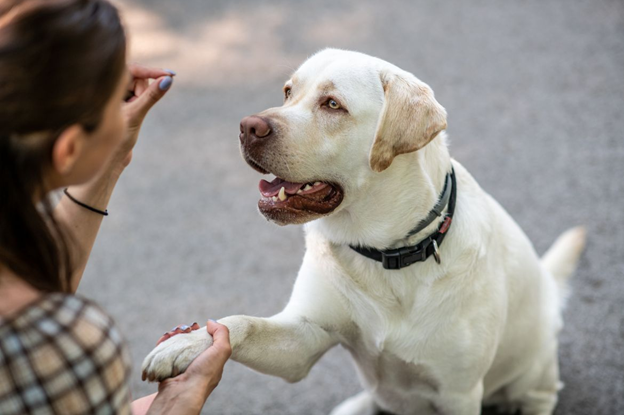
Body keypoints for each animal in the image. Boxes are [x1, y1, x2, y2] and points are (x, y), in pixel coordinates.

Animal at [141, 48, 584, 412]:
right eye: (287, 92)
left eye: (332, 104)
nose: (248, 126)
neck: (386, 253)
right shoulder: (303, 338)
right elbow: (241, 323)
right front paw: (187, 344)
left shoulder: (458, 393)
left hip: (534, 372)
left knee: (541, 395)